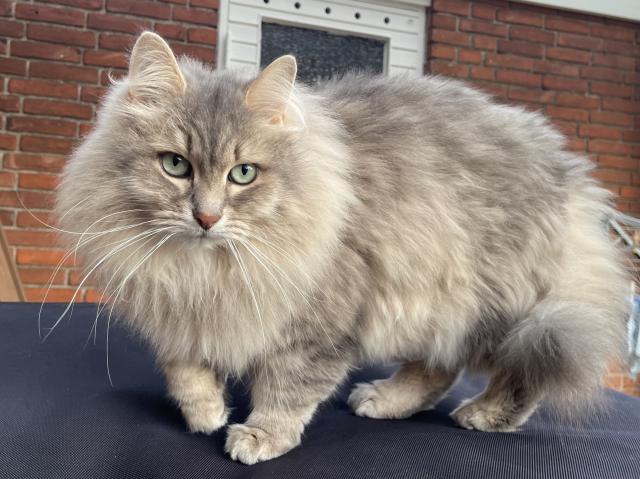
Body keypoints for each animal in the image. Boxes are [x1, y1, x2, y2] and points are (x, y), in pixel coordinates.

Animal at [57, 32, 628, 464]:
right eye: (175, 165)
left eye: (243, 174)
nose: (207, 217)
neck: (206, 269)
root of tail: (572, 177)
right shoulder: (176, 307)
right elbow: (184, 368)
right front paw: (206, 414)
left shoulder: (319, 321)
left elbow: (287, 389)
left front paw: (260, 436)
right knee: (439, 366)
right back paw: (386, 399)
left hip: (505, 310)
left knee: (520, 368)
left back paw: (484, 413)